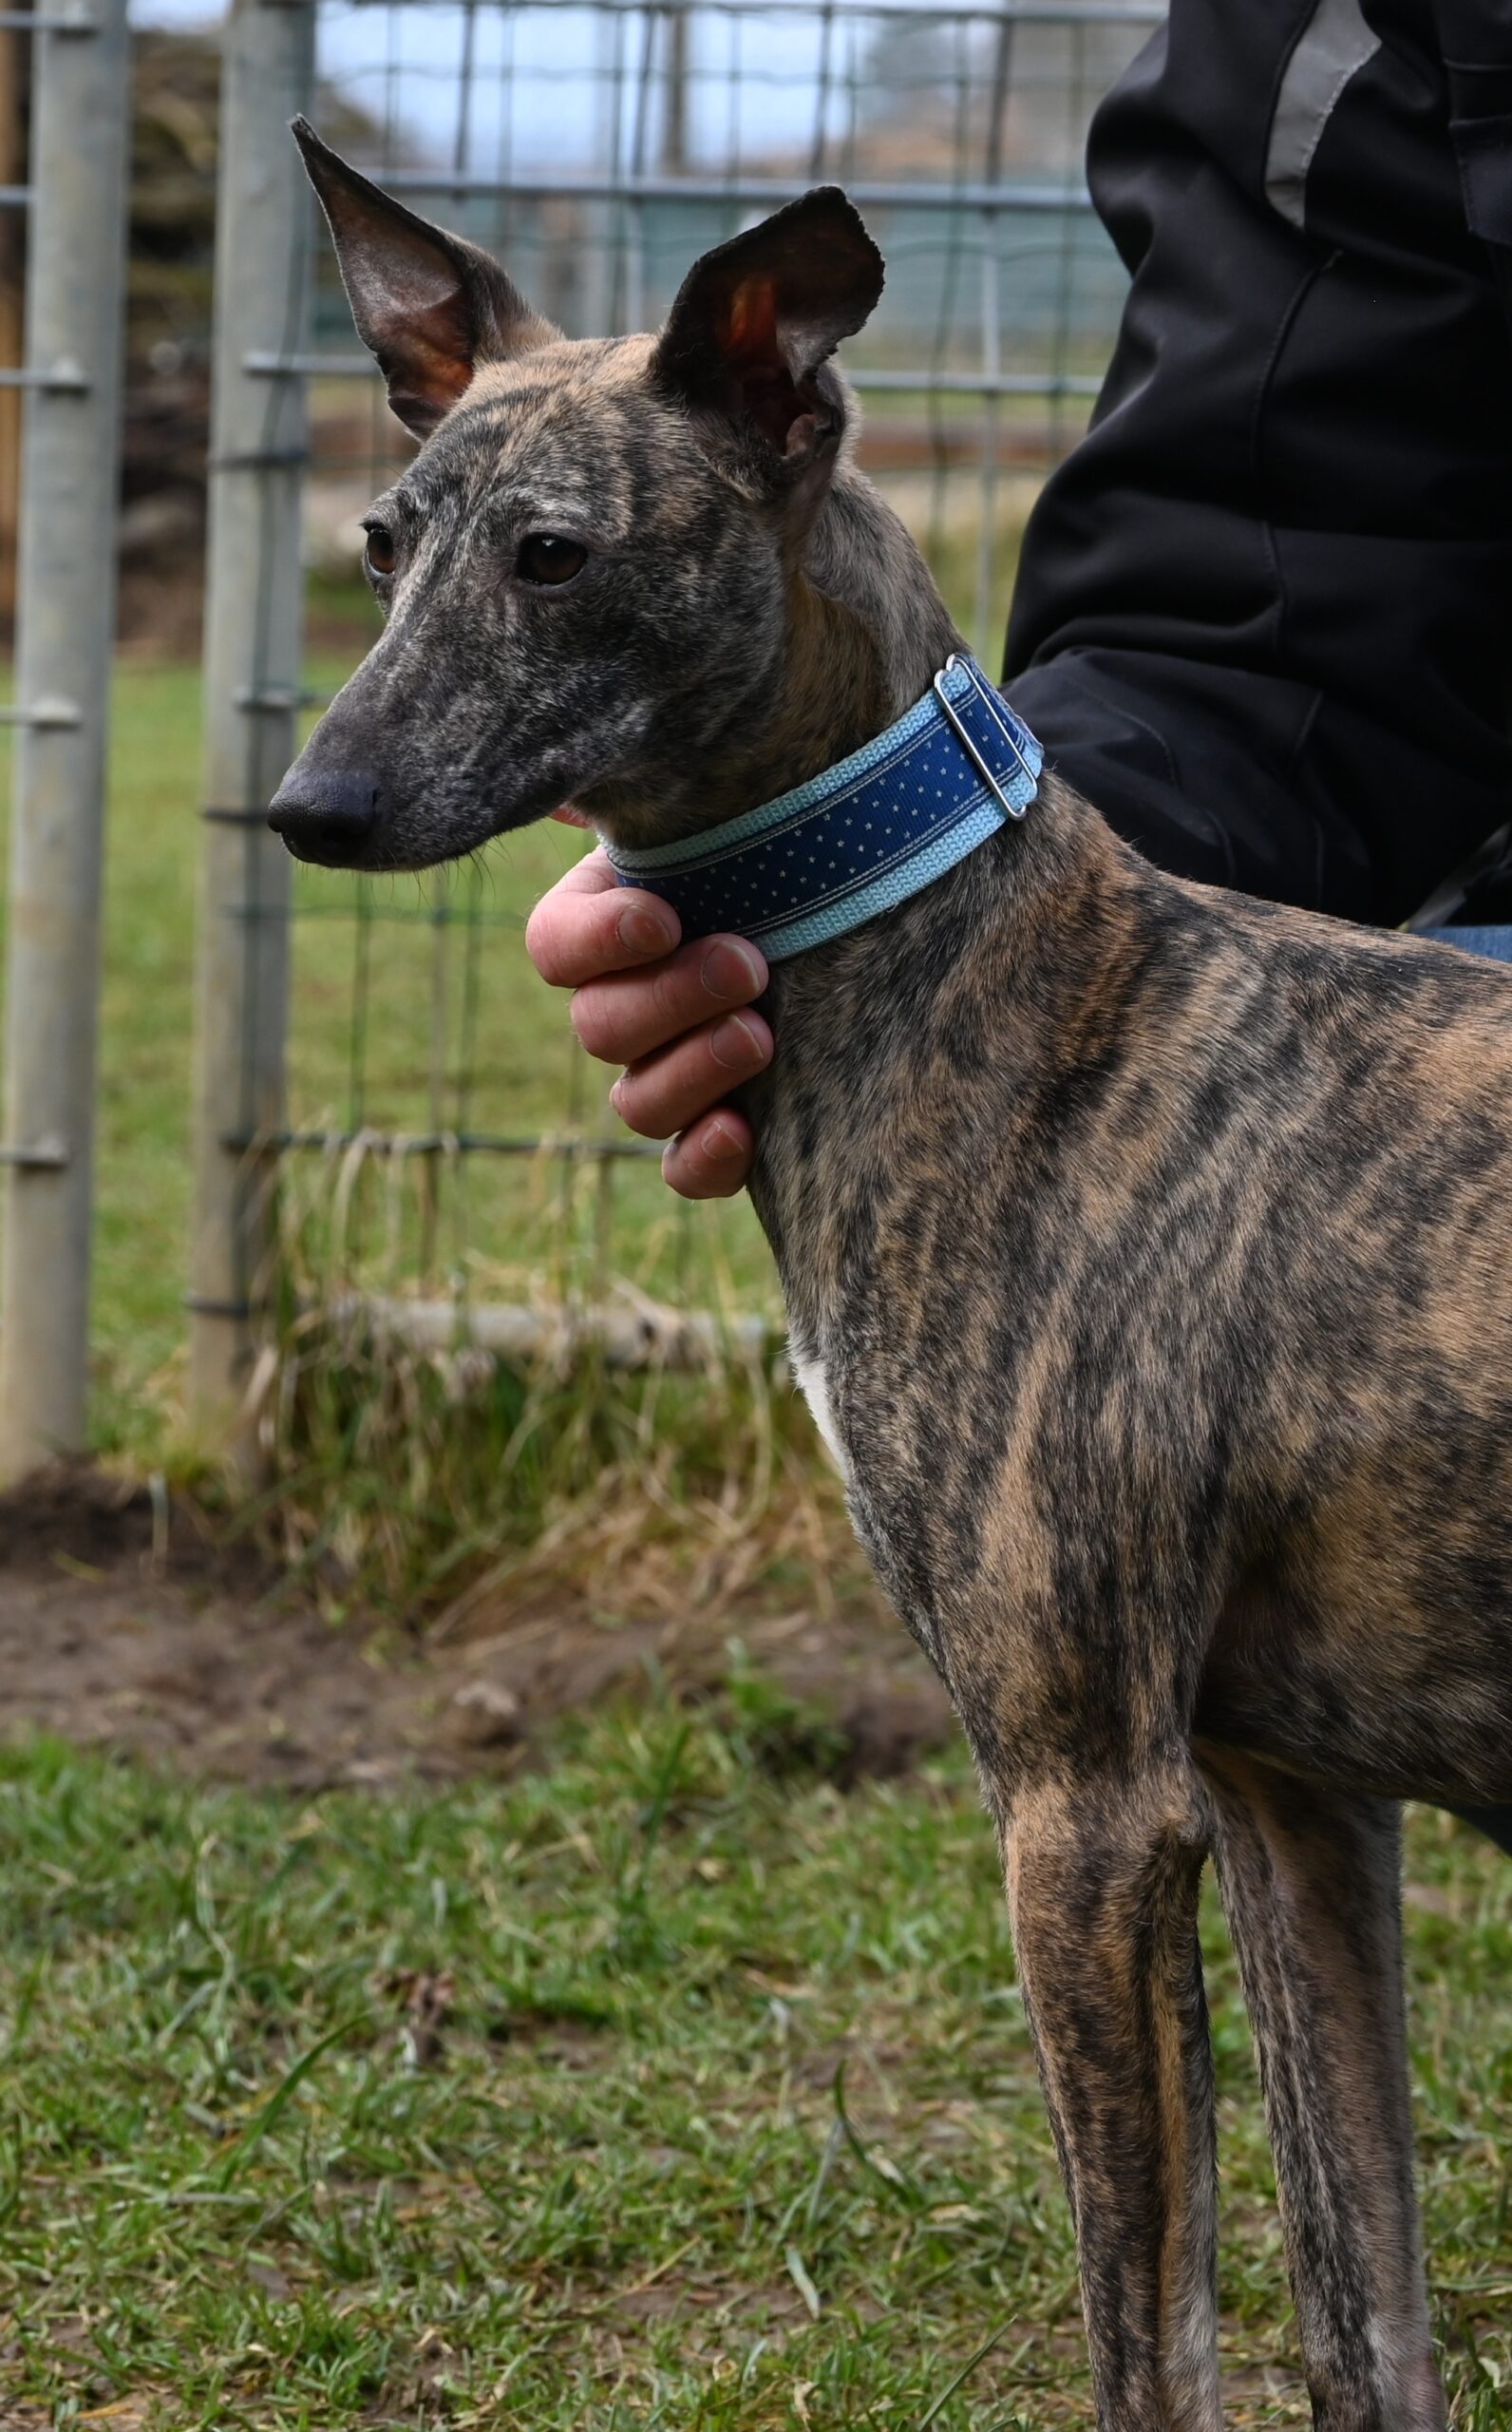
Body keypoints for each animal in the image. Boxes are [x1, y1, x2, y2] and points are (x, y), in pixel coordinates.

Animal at [272, 120, 1512, 2432]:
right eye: (385, 544)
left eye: (553, 557)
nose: (311, 805)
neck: (1016, 986)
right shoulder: (1299, 1806)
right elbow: (1362, 2308)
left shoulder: (1088, 1815)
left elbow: (1152, 2344)